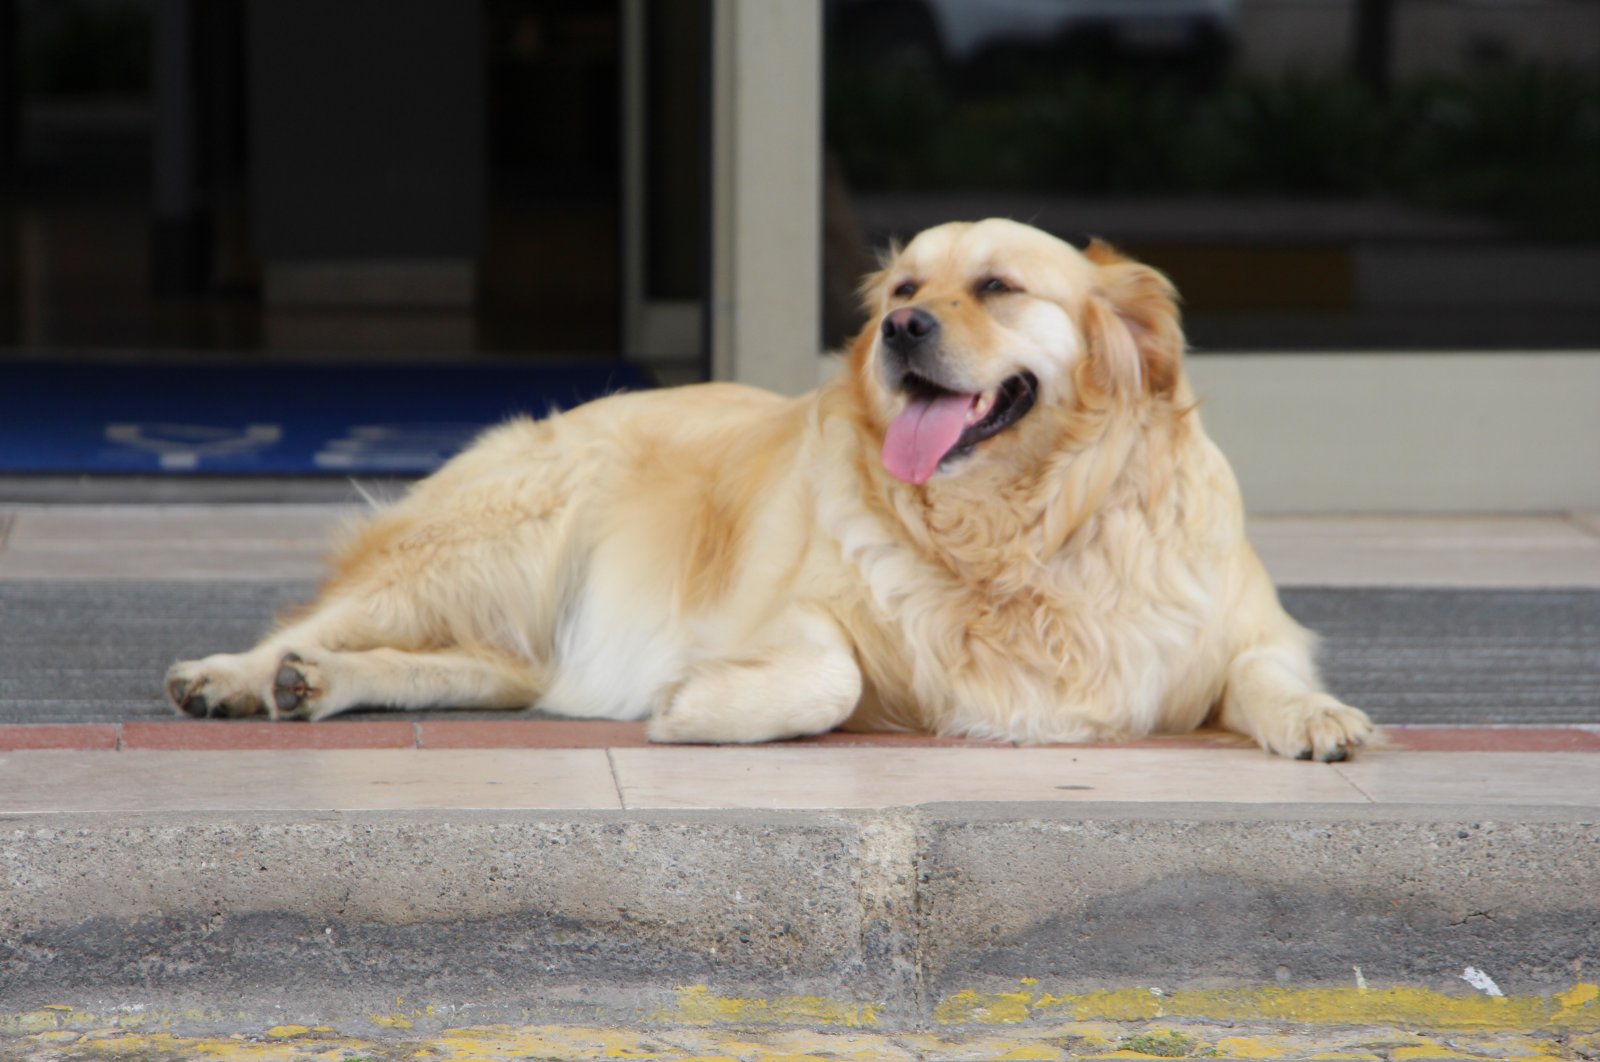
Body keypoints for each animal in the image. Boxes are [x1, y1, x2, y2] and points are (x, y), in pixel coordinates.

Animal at [172, 219, 1376, 758]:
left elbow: (1266, 672)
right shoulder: (776, 609)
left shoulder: (1237, 625)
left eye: (997, 286)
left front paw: (1320, 717)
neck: (1018, 531)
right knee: (316, 619)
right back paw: (241, 675)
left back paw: (318, 684)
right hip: (494, 539)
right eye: (903, 285)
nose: (901, 328)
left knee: (481, 669)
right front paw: (701, 704)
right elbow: (832, 675)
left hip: (510, 627)